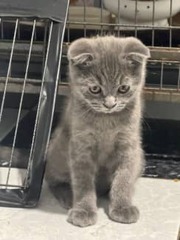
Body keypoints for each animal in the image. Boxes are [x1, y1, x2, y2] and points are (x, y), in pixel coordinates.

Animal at [45, 35, 150, 227]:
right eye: (95, 89)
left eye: (123, 88)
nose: (110, 104)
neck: (106, 121)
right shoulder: (81, 145)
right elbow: (83, 182)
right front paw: (84, 210)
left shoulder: (129, 143)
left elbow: (124, 177)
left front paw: (122, 206)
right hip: (57, 152)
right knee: (53, 180)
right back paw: (67, 196)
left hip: (140, 157)